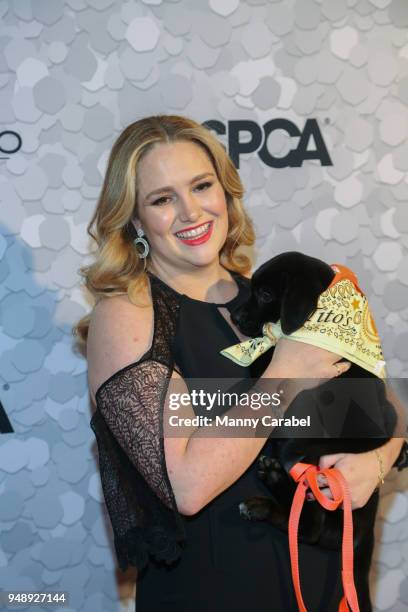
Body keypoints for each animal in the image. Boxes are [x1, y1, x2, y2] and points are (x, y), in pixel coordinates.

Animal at [231, 251, 396, 608]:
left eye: (266, 294)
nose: (235, 317)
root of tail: (364, 535)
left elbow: (264, 361)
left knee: (311, 528)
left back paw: (265, 497)